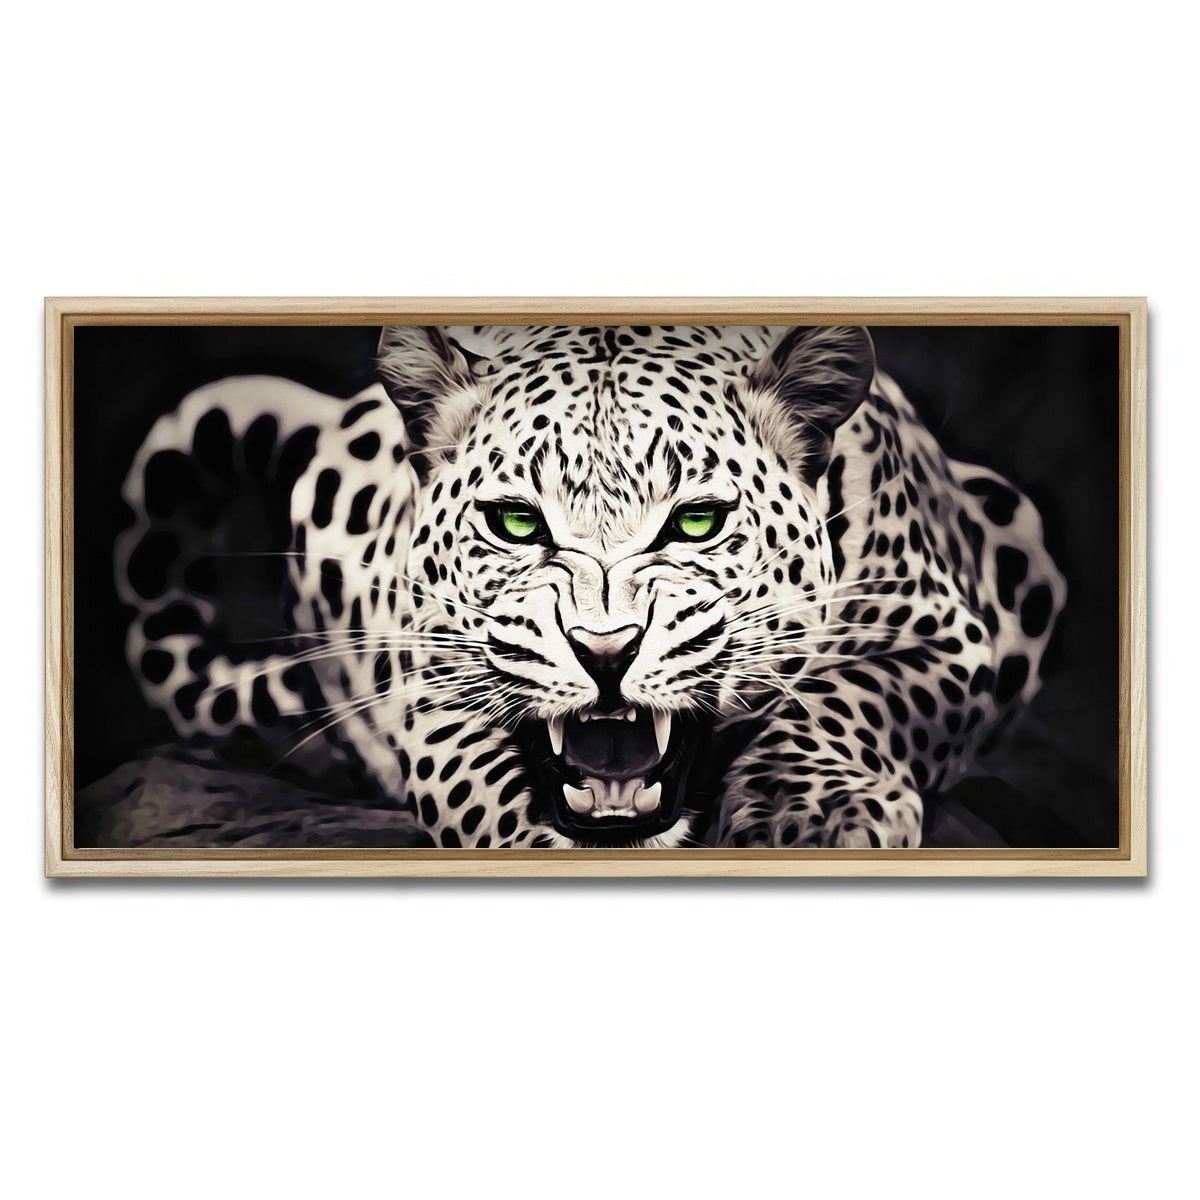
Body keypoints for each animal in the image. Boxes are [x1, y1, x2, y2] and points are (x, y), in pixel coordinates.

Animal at [115, 324, 1066, 849]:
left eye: (696, 522)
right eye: (515, 522)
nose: (604, 652)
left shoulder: (948, 633)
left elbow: (854, 694)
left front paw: (813, 812)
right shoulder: (433, 680)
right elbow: (477, 782)